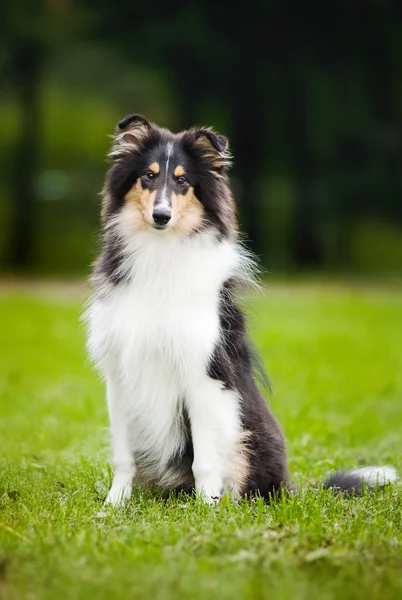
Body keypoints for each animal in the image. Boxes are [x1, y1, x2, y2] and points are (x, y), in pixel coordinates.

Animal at [85, 115, 396, 504]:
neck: (160, 251)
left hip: (248, 436)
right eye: (149, 175)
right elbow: (122, 457)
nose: (161, 215)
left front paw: (206, 508)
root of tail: (290, 490)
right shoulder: (119, 374)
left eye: (182, 181)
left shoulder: (202, 373)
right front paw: (114, 505)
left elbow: (204, 460)